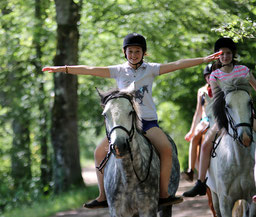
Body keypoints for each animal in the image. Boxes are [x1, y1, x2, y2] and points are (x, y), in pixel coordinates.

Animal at [96, 89, 180, 217]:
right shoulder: (117, 211)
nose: (119, 146)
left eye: (131, 112)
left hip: (166, 207)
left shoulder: (148, 209)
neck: (128, 177)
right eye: (105, 114)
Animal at [206, 77, 256, 216]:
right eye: (227, 106)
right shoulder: (225, 203)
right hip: (214, 196)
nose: (245, 137)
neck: (239, 161)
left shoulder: (252, 199)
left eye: (249, 102)